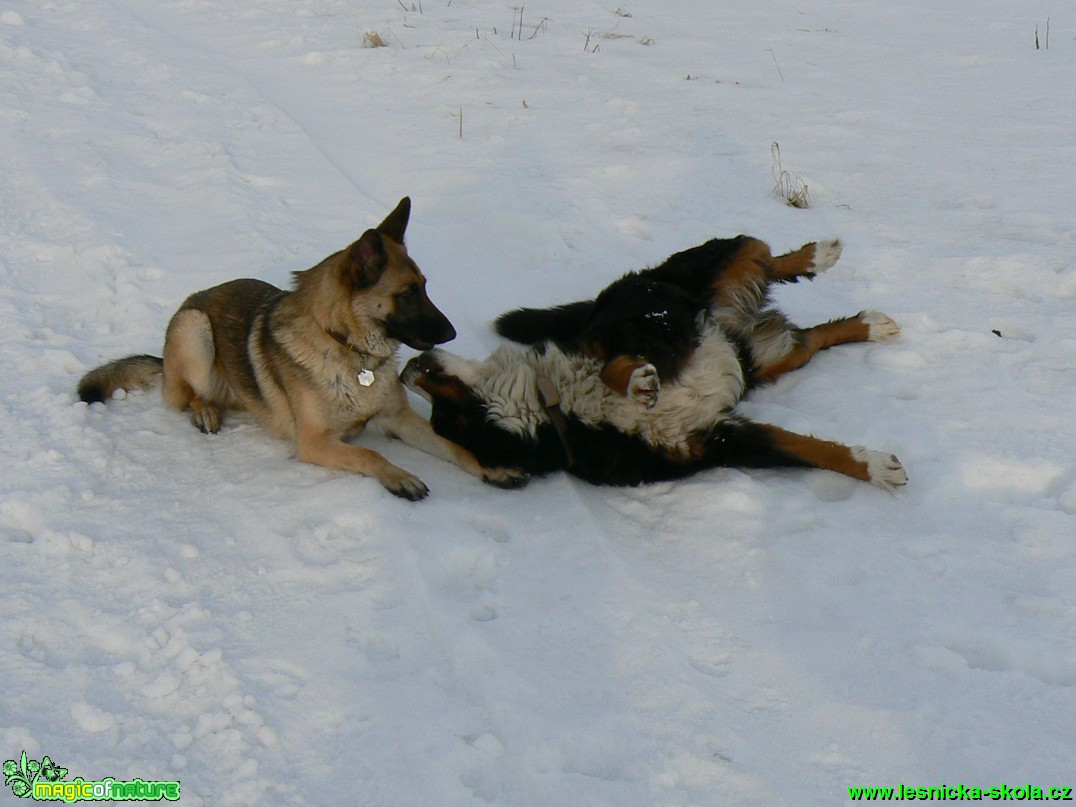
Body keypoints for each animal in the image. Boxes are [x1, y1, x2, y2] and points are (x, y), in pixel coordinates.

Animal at [76, 197, 529, 499]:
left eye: (426, 288)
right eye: (407, 294)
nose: (452, 333)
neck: (349, 351)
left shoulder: (399, 419)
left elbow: (454, 447)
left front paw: (493, 468)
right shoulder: (314, 443)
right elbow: (369, 454)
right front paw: (399, 475)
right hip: (195, 330)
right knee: (185, 395)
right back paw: (204, 409)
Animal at [404, 236, 908, 490]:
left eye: (444, 411)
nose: (409, 369)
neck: (564, 410)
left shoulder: (642, 324)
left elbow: (616, 364)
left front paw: (638, 383)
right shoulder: (721, 438)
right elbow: (805, 449)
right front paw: (876, 467)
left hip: (684, 276)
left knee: (756, 250)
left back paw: (819, 254)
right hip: (767, 355)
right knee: (807, 337)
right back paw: (869, 324)